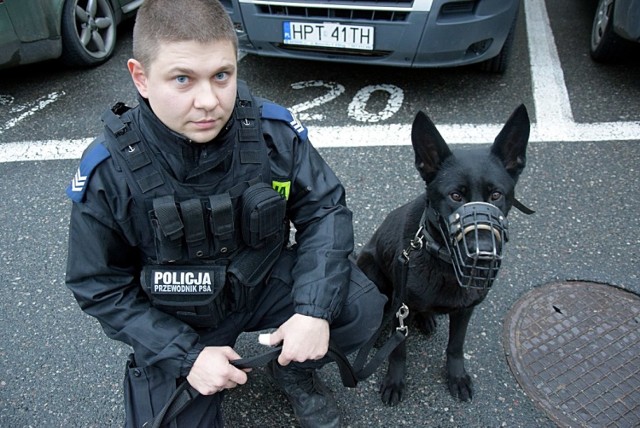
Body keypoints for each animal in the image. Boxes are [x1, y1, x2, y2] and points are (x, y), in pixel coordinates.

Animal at [358, 104, 532, 404]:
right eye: (455, 196)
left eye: (496, 195)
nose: (483, 254)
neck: (444, 263)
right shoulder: (401, 309)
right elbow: (398, 350)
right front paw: (394, 381)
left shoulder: (465, 311)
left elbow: (456, 346)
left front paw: (456, 376)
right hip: (372, 270)